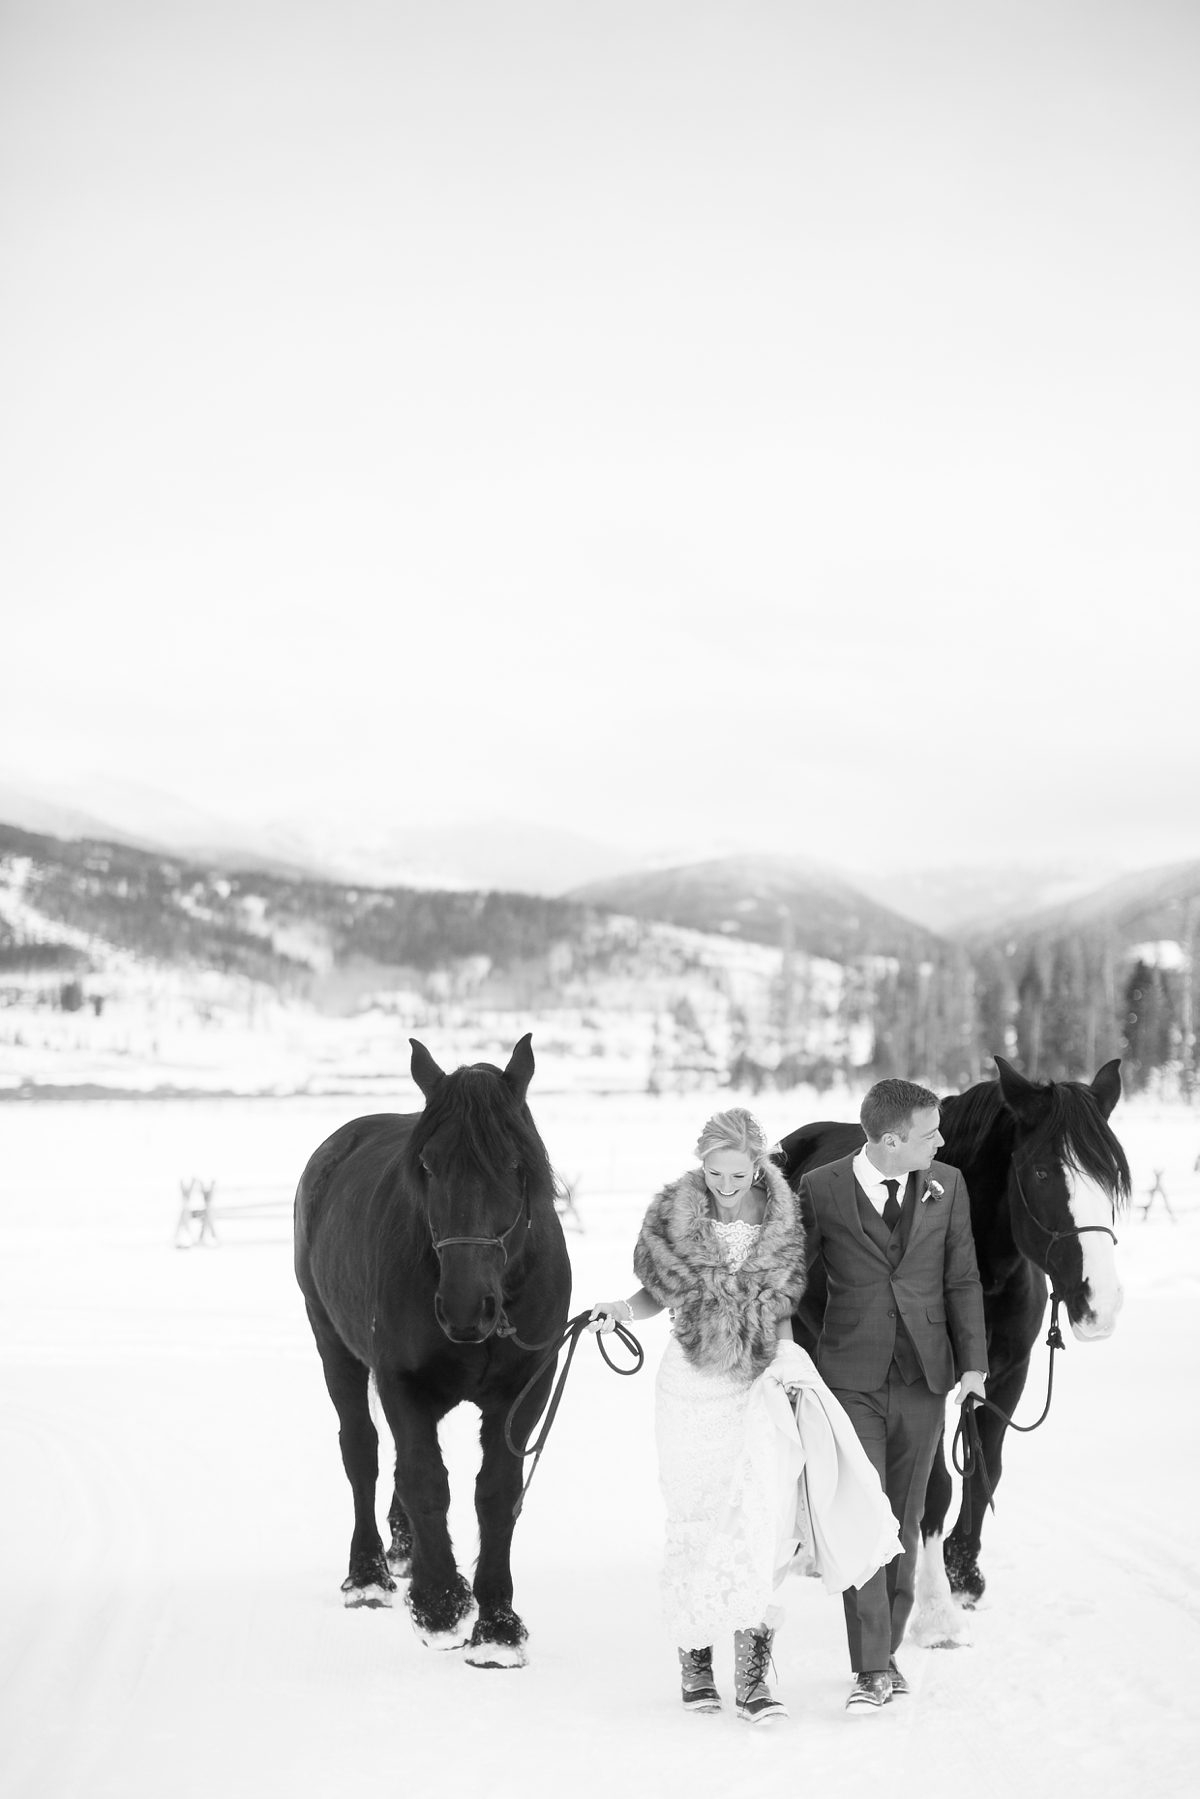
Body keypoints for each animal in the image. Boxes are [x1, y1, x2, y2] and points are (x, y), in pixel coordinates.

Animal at [294, 1034, 571, 1669]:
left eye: (515, 1165)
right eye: (427, 1165)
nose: (466, 1308)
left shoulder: (524, 1392)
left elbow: (496, 1493)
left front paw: (496, 1626)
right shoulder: (402, 1381)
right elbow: (425, 1480)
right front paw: (442, 1605)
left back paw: (403, 1553)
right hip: (334, 1346)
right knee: (364, 1452)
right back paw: (369, 1574)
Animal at [776, 1057, 1130, 1631]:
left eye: (1113, 1175)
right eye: (1042, 1172)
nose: (1101, 1304)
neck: (984, 1271)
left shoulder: (1004, 1375)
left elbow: (985, 1473)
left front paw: (964, 1575)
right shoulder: (930, 1382)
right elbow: (936, 1485)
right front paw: (937, 1610)